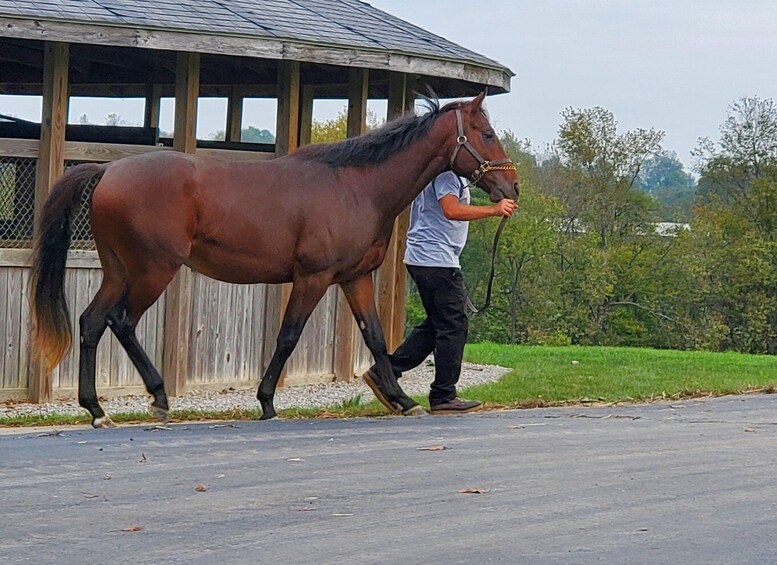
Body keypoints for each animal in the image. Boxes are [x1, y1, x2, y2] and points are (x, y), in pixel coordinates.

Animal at [30, 90, 520, 426]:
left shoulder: (354, 279)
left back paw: (96, 410)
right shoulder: (312, 278)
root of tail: (108, 169)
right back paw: (158, 397)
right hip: (153, 271)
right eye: (487, 134)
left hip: (118, 270)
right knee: (122, 321)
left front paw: (401, 399)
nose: (511, 187)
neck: (355, 186)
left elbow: (377, 339)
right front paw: (266, 401)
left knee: (92, 322)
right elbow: (288, 337)